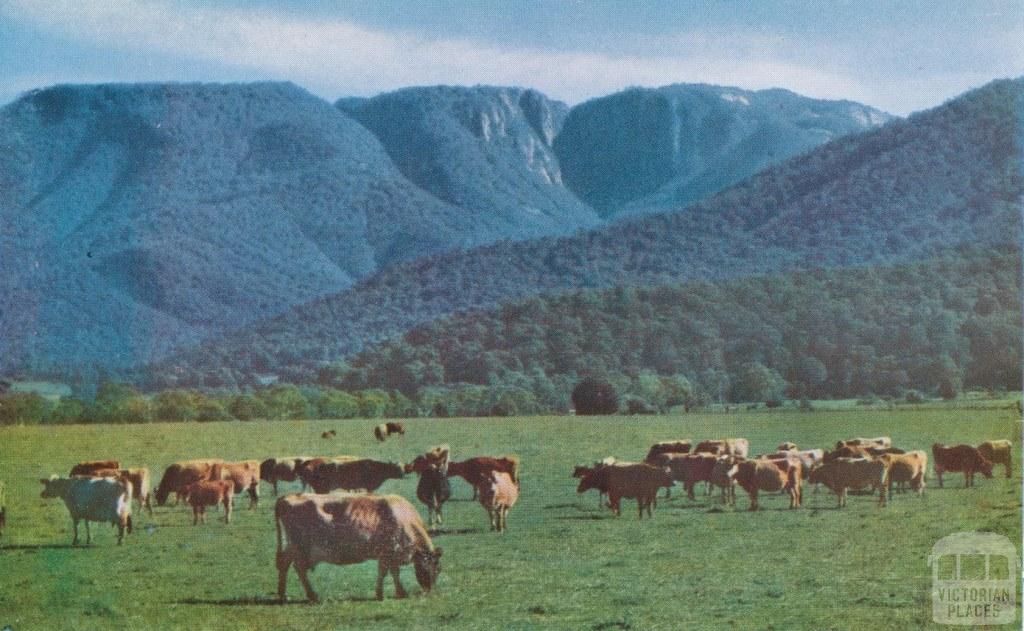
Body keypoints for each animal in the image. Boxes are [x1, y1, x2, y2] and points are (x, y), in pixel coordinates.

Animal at [274, 493, 442, 602]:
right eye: (436, 568)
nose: (430, 591)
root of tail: (287, 497)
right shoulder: (387, 552)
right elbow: (385, 572)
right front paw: (382, 594)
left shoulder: (391, 554)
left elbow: (394, 572)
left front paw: (399, 592)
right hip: (299, 546)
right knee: (299, 568)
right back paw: (312, 595)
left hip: (292, 546)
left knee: (284, 563)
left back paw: (283, 595)